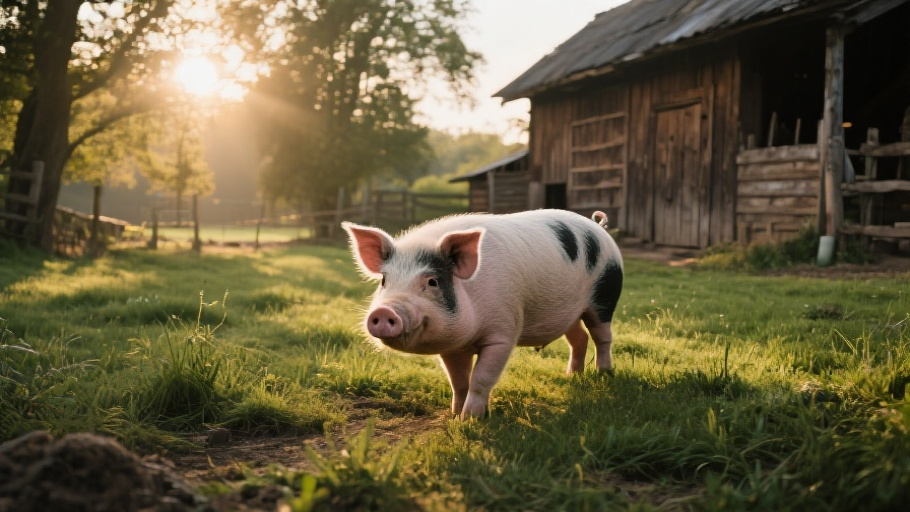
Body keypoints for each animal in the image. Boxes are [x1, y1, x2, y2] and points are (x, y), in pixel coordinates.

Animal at [342, 209, 623, 419]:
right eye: (384, 281)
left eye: (432, 281)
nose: (383, 311)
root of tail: (598, 226)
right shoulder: (452, 347)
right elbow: (458, 381)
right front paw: (454, 415)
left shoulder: (503, 334)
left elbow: (481, 378)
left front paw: (470, 419)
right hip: (569, 312)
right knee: (579, 338)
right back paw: (571, 376)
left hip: (605, 296)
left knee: (602, 336)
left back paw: (603, 373)